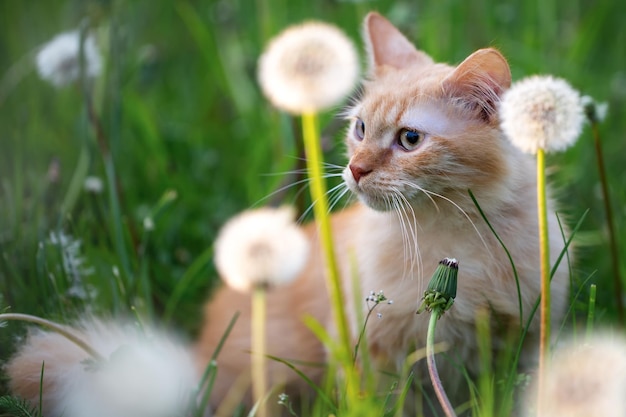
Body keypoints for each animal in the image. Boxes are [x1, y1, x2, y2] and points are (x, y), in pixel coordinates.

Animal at [6, 11, 572, 416]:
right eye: (360, 129)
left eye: (410, 139)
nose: (356, 170)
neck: (454, 242)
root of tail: (195, 359)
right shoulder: (383, 358)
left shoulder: (525, 340)